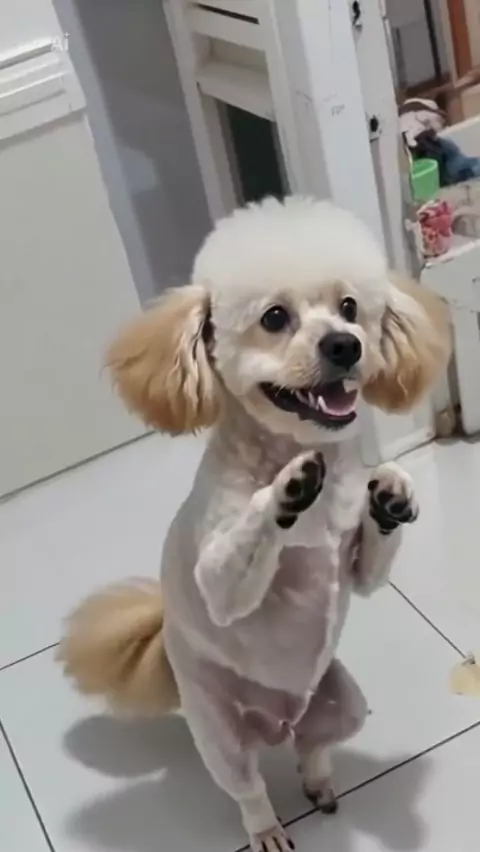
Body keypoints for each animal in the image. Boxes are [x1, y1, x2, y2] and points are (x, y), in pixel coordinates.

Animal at [59, 197, 450, 852]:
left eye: (350, 308)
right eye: (274, 318)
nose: (345, 344)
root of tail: (275, 725)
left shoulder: (359, 567)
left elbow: (372, 558)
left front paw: (392, 494)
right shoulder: (222, 586)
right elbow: (245, 542)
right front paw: (283, 494)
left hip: (343, 702)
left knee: (312, 745)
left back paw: (318, 781)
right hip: (219, 737)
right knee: (249, 790)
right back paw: (266, 828)